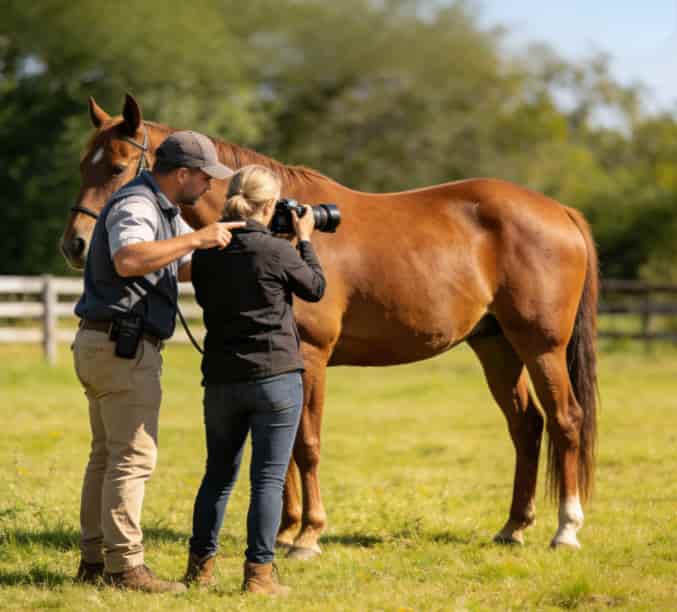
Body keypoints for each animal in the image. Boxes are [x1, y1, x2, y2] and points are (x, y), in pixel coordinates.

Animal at [61, 94, 598, 558]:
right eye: (82, 165)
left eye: (116, 167)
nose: (76, 245)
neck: (278, 227)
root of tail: (561, 211)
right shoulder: (283, 363)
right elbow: (284, 444)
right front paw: (284, 529)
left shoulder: (312, 356)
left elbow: (308, 444)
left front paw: (307, 536)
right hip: (496, 346)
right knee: (526, 426)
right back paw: (514, 527)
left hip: (541, 346)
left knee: (566, 420)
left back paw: (566, 530)